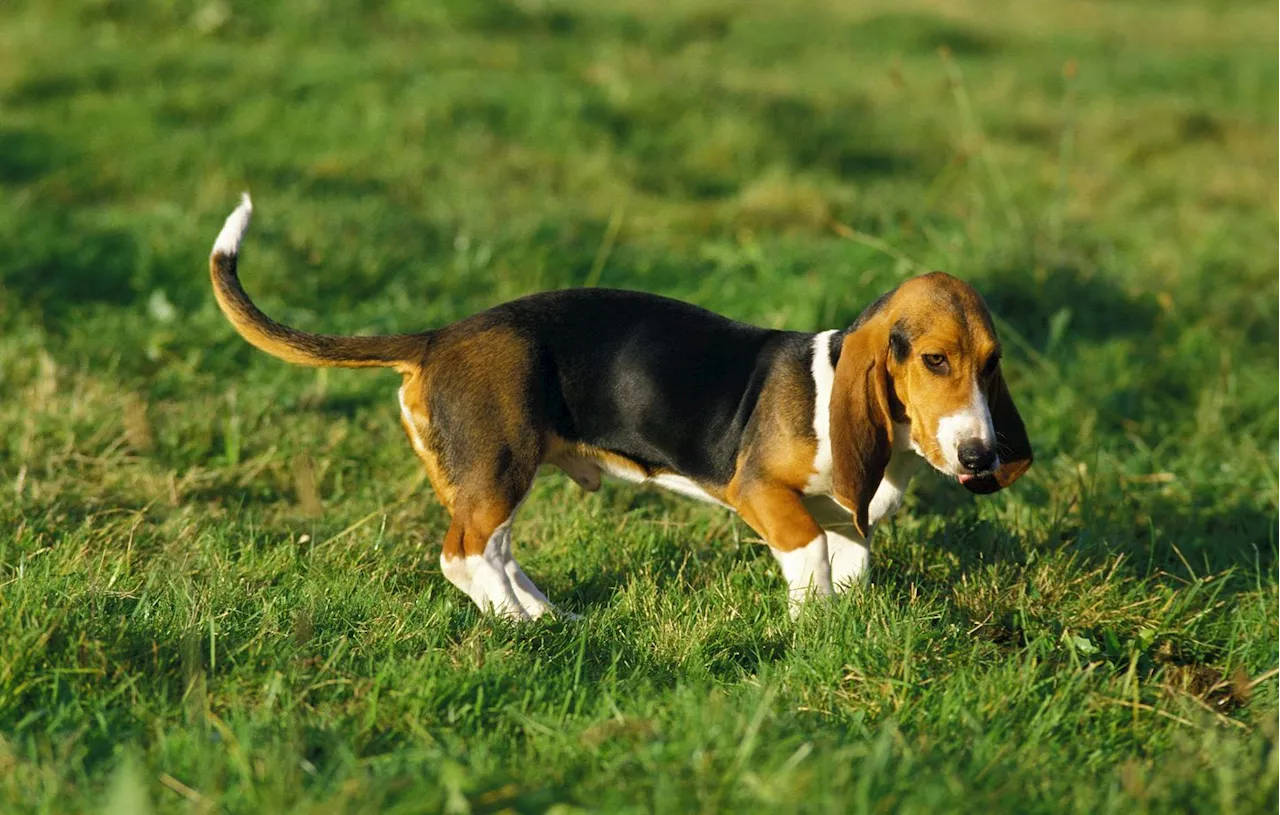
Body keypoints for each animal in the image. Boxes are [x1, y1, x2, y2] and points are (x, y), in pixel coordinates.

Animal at [209, 194, 1029, 619]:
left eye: (992, 364)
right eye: (934, 360)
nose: (980, 456)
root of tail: (441, 336)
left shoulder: (848, 516)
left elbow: (847, 564)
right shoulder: (764, 494)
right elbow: (811, 557)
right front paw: (811, 633)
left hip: (488, 478)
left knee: (494, 552)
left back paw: (549, 617)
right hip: (501, 466)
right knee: (465, 555)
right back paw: (522, 628)